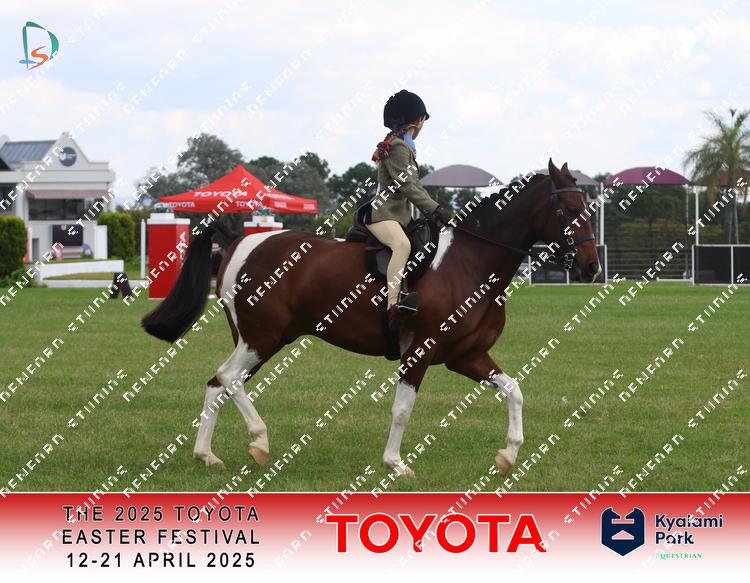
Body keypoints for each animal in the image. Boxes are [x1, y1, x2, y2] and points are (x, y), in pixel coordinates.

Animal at [142, 159, 600, 478]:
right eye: (569, 207)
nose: (592, 268)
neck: (469, 262)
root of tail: (241, 239)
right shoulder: (420, 351)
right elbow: (402, 409)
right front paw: (395, 463)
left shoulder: (466, 356)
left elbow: (514, 390)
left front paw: (508, 454)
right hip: (262, 338)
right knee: (227, 378)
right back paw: (259, 441)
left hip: (260, 339)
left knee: (218, 384)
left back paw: (207, 455)